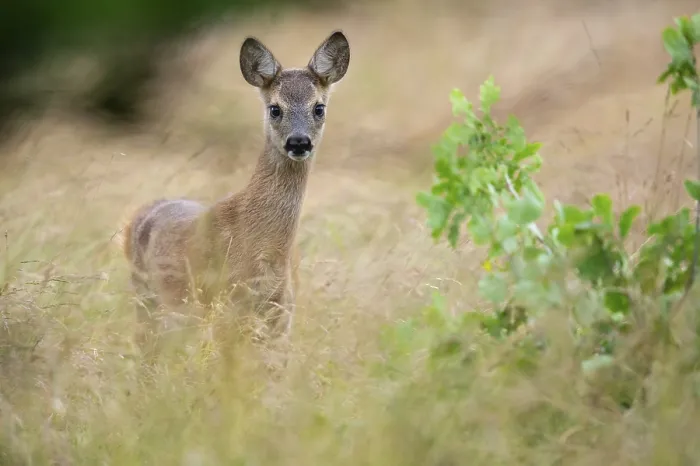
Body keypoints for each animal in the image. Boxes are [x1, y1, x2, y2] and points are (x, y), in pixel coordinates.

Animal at [120, 31, 350, 356]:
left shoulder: (282, 315)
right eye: (275, 108)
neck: (264, 251)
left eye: (319, 107)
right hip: (147, 297)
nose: (299, 142)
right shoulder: (227, 308)